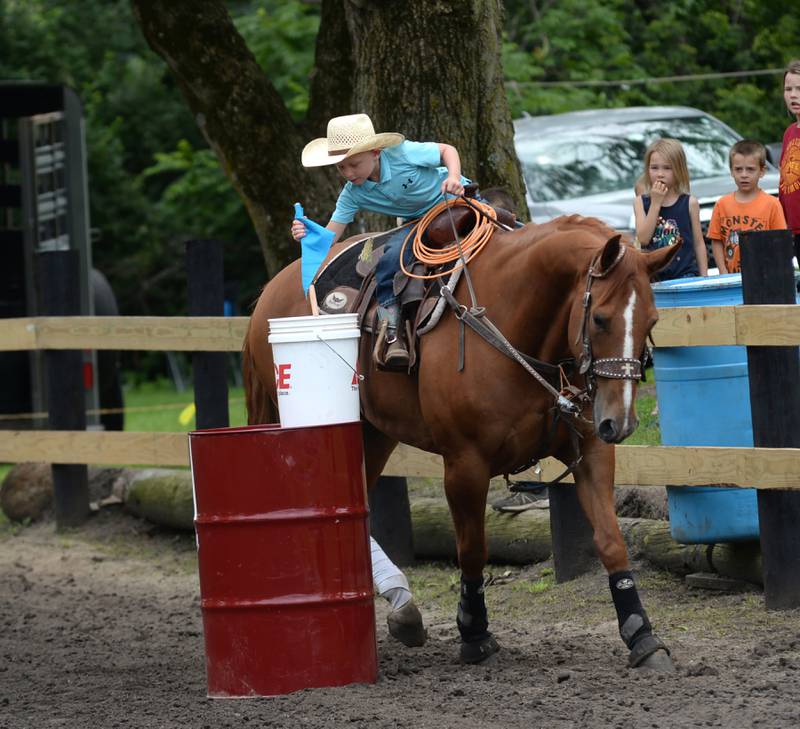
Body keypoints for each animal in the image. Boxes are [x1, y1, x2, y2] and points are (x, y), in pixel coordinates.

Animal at [242, 213, 676, 668]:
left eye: (651, 321)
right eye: (601, 319)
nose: (620, 421)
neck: (516, 324)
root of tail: (271, 291)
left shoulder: (591, 451)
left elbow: (611, 541)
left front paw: (642, 635)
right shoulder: (465, 464)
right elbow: (471, 549)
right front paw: (473, 631)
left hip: (373, 436)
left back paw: (403, 608)